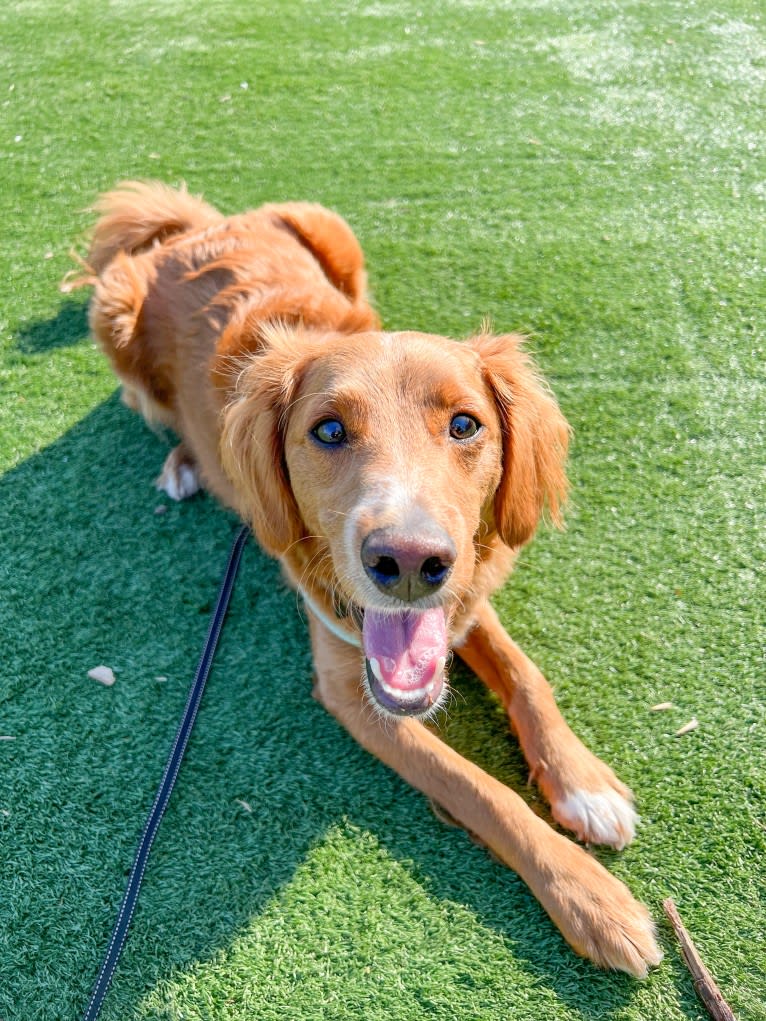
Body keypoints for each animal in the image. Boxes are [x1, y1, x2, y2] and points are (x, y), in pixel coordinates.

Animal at [75, 181, 665, 971]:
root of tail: (195, 230)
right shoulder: (351, 690)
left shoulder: (465, 591)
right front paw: (591, 898)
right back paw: (185, 461)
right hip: (112, 310)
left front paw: (583, 782)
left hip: (329, 227)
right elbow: (481, 790)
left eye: (466, 425)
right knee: (149, 406)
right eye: (327, 430)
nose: (409, 561)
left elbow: (525, 674)